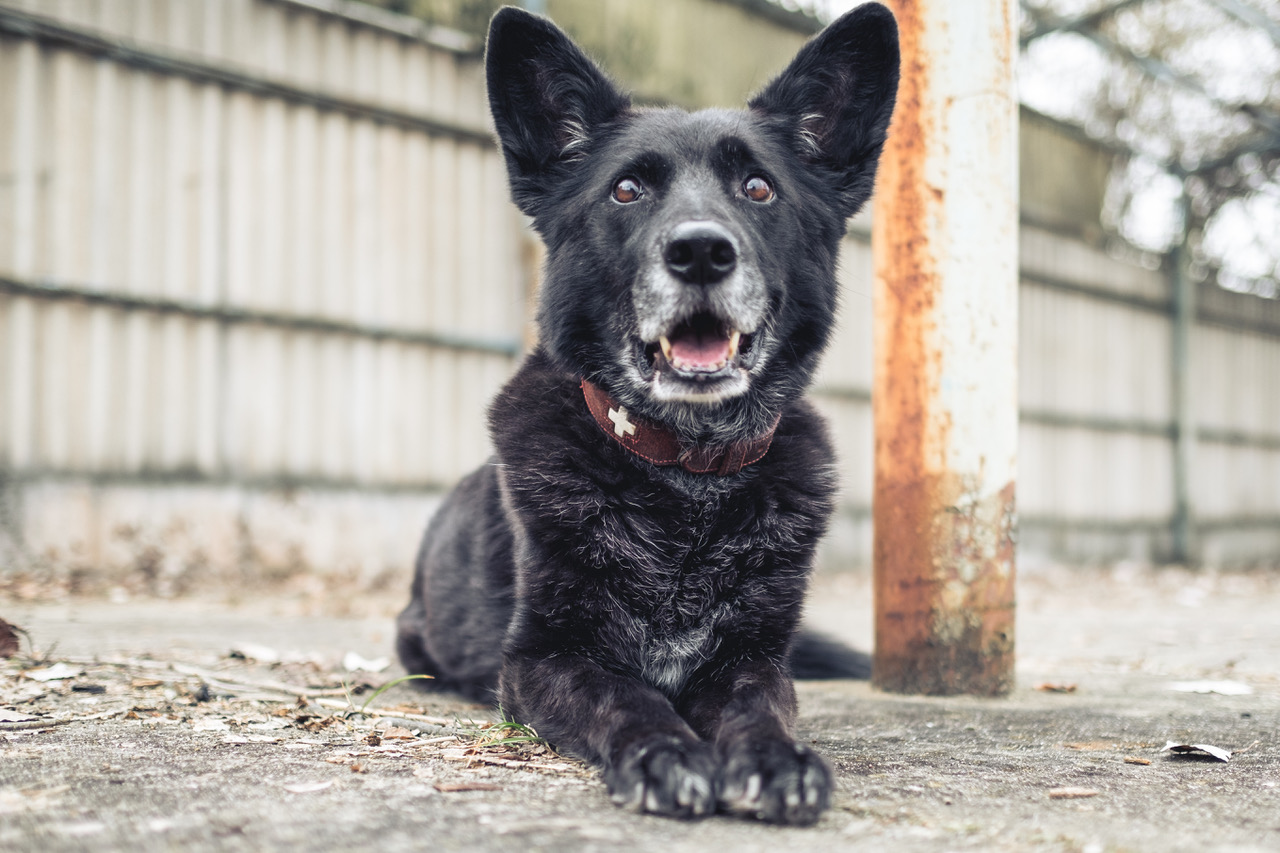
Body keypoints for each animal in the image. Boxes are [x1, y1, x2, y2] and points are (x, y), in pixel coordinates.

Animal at [396, 4, 899, 825]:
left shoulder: (753, 657)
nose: (700, 252)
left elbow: (758, 705)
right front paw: (665, 752)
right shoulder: (544, 658)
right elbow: (625, 695)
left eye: (758, 188)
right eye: (627, 190)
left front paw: (775, 760)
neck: (687, 476)